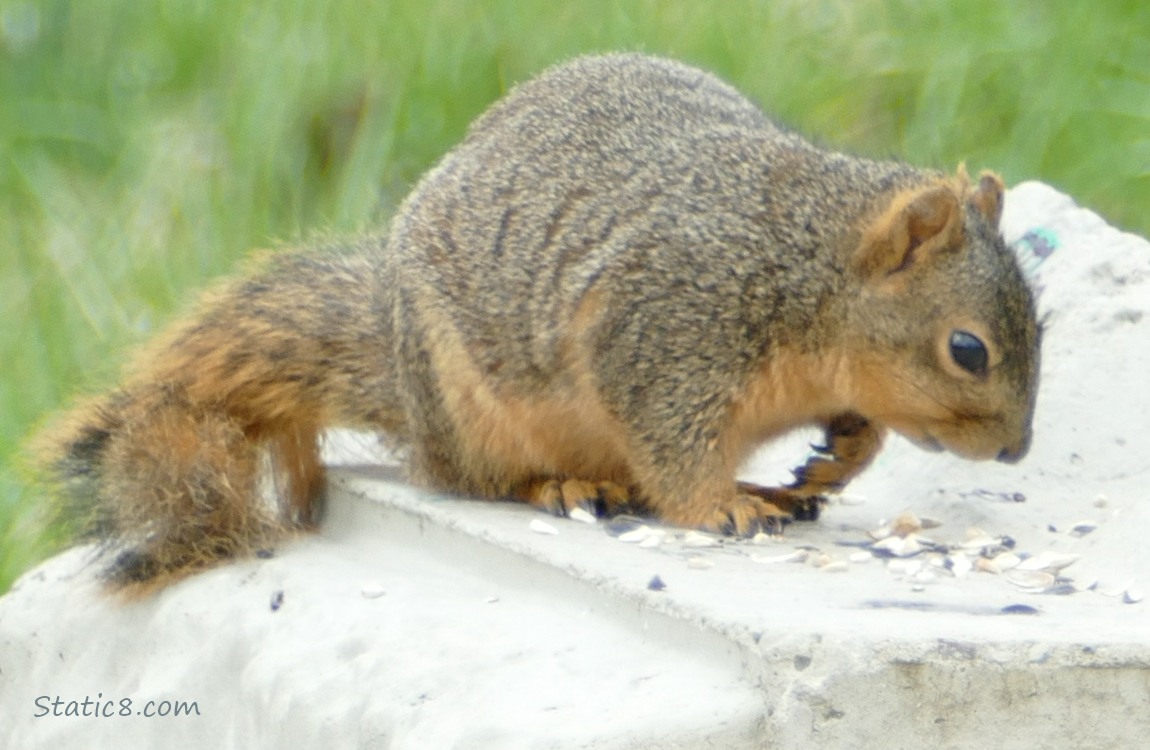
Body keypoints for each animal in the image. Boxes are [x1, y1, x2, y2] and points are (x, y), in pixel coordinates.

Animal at [37, 53, 1040, 591]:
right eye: (967, 349)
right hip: (470, 405)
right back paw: (561, 486)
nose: (1016, 450)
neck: (808, 270)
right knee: (475, 478)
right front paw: (717, 503)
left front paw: (838, 455)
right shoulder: (663, 328)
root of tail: (404, 386)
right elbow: (674, 446)